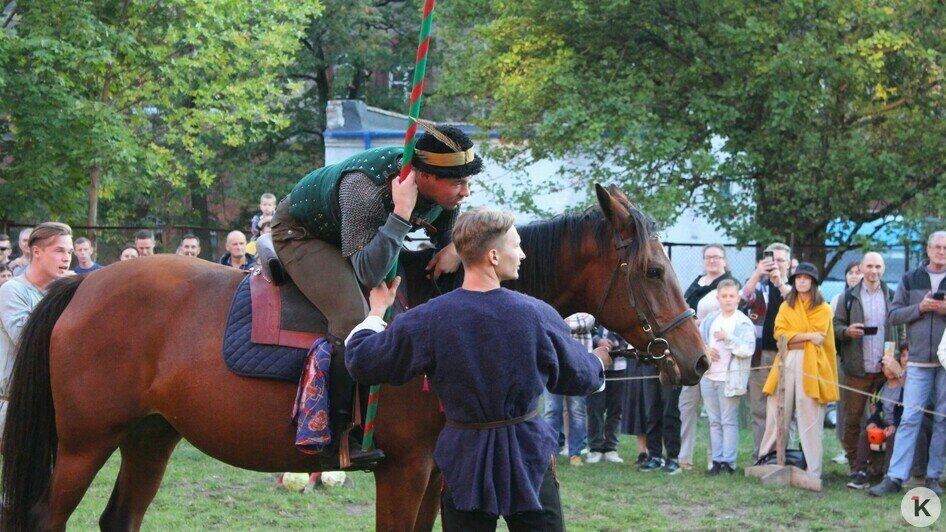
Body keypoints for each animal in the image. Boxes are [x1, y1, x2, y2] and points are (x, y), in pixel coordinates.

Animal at [0, 184, 704, 532]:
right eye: (651, 269)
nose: (695, 360)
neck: (440, 303)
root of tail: (83, 284)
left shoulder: (437, 474)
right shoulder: (403, 470)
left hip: (149, 437)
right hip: (85, 443)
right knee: (42, 519)